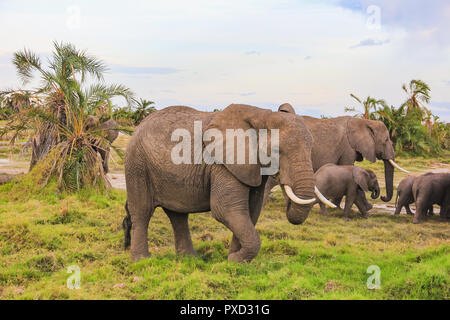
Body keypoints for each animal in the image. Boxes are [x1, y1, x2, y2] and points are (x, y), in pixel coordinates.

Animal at [123, 105, 334, 262]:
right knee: (142, 211)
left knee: (178, 215)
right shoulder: (222, 164)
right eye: (276, 150)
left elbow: (251, 211)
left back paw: (191, 259)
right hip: (137, 165)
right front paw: (235, 259)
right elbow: (226, 210)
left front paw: (234, 259)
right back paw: (142, 261)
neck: (262, 115)